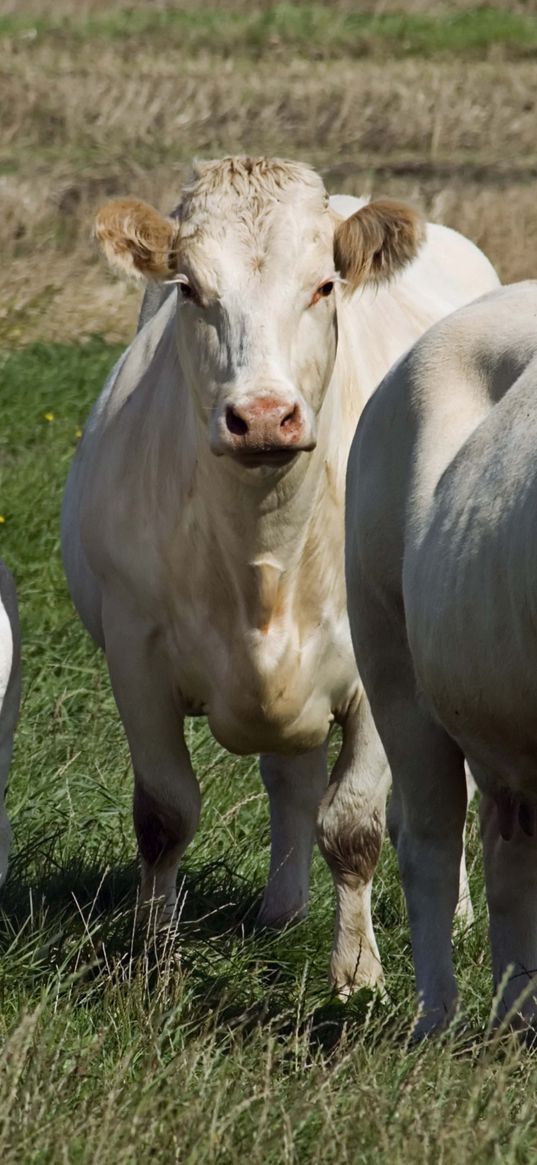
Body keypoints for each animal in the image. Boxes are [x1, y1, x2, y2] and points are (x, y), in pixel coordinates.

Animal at [60, 152, 496, 992]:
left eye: (323, 285)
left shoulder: (376, 666)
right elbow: (164, 814)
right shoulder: (134, 652)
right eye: (189, 287)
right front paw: (154, 959)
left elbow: (355, 823)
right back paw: (283, 910)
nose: (262, 415)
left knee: (436, 793)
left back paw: (455, 913)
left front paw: (357, 972)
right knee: (290, 780)